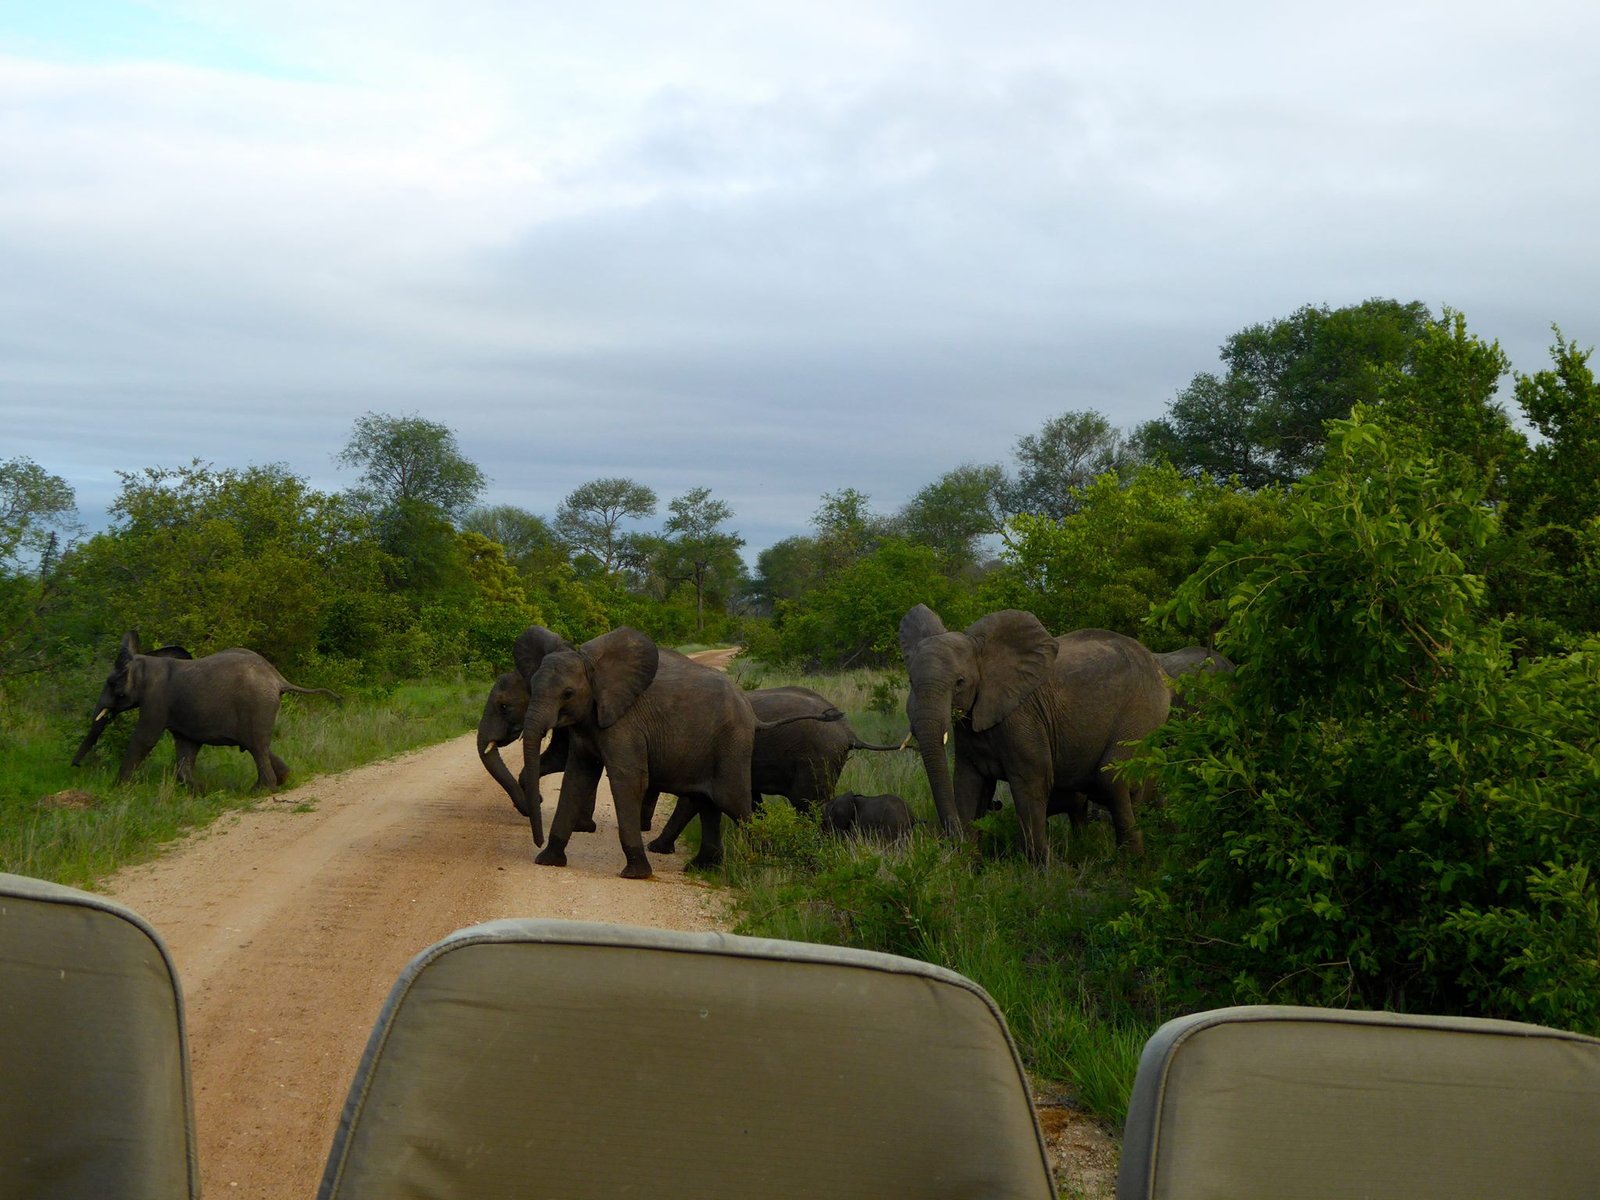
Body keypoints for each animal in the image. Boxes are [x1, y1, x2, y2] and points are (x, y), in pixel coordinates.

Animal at [72, 633, 344, 793]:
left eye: (111, 683)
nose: (74, 767)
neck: (143, 662)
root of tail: (278, 678)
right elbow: (186, 747)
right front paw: (202, 792)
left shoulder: (155, 700)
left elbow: (145, 739)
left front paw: (117, 789)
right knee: (258, 745)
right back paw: (281, 779)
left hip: (256, 705)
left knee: (257, 746)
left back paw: (260, 791)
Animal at [521, 630, 851, 883]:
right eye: (532, 686)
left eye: (567, 694)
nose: (535, 838)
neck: (593, 666)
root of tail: (750, 711)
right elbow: (577, 778)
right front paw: (547, 860)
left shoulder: (625, 725)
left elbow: (628, 779)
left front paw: (636, 874)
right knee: (708, 802)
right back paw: (701, 867)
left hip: (736, 746)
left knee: (734, 802)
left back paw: (765, 862)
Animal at [643, 684, 908, 864]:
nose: (645, 828)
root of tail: (848, 732)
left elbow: (691, 800)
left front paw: (655, 848)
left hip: (816, 758)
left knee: (809, 805)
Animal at [902, 611, 1177, 864]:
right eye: (911, 681)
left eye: (960, 682)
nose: (950, 841)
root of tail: (1158, 666)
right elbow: (968, 783)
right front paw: (966, 863)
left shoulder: (1023, 716)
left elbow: (1031, 781)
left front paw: (1043, 869)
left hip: (1143, 713)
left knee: (1112, 778)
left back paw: (1132, 862)